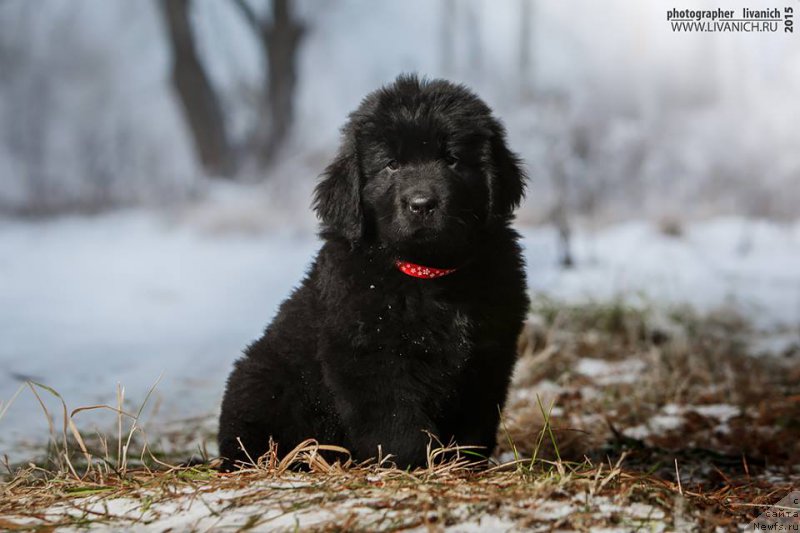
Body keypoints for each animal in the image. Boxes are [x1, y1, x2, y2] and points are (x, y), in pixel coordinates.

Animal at [219, 75, 532, 470]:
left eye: (452, 160)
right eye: (391, 165)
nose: (421, 204)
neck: (428, 273)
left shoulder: (488, 354)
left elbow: (475, 418)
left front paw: (462, 462)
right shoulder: (369, 356)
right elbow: (395, 421)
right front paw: (412, 464)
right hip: (262, 380)